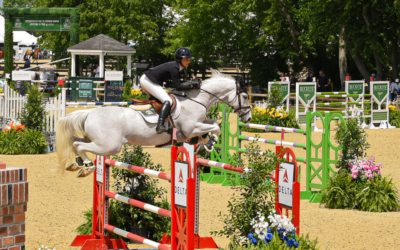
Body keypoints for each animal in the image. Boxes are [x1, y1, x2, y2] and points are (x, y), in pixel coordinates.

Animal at [55, 69, 252, 177]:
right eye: (244, 95)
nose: (248, 118)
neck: (197, 99)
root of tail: (89, 113)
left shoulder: (195, 126)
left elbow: (212, 123)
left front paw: (204, 143)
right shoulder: (189, 129)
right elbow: (216, 127)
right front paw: (209, 144)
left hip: (97, 141)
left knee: (75, 142)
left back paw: (77, 164)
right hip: (109, 146)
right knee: (79, 145)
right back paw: (87, 167)